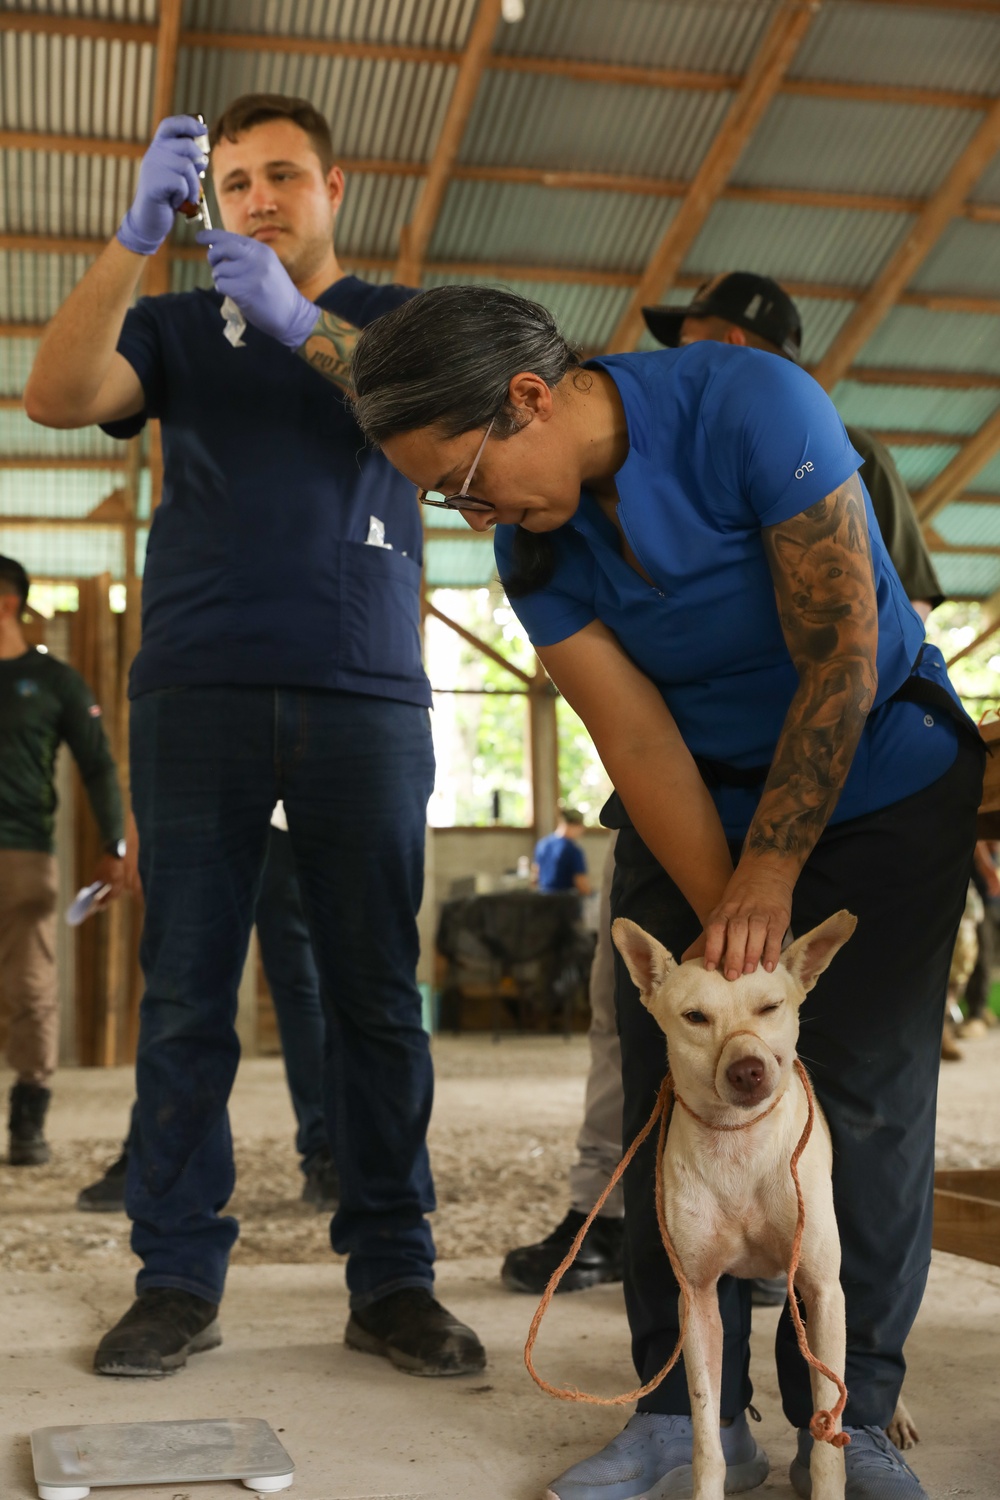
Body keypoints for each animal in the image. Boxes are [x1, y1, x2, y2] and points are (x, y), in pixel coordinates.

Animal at [614, 906, 857, 1494]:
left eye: (770, 1007)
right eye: (695, 1017)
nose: (748, 1070)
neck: (738, 1147)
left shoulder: (822, 1293)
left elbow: (827, 1431)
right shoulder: (697, 1299)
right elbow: (706, 1431)